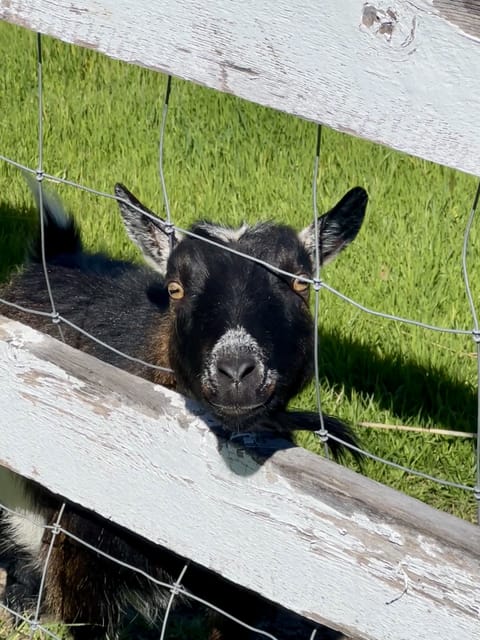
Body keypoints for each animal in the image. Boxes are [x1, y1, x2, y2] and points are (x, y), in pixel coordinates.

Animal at [0, 182, 367, 639]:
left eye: (301, 284)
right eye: (175, 288)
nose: (236, 371)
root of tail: (56, 255)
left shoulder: (243, 582)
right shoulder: (83, 556)